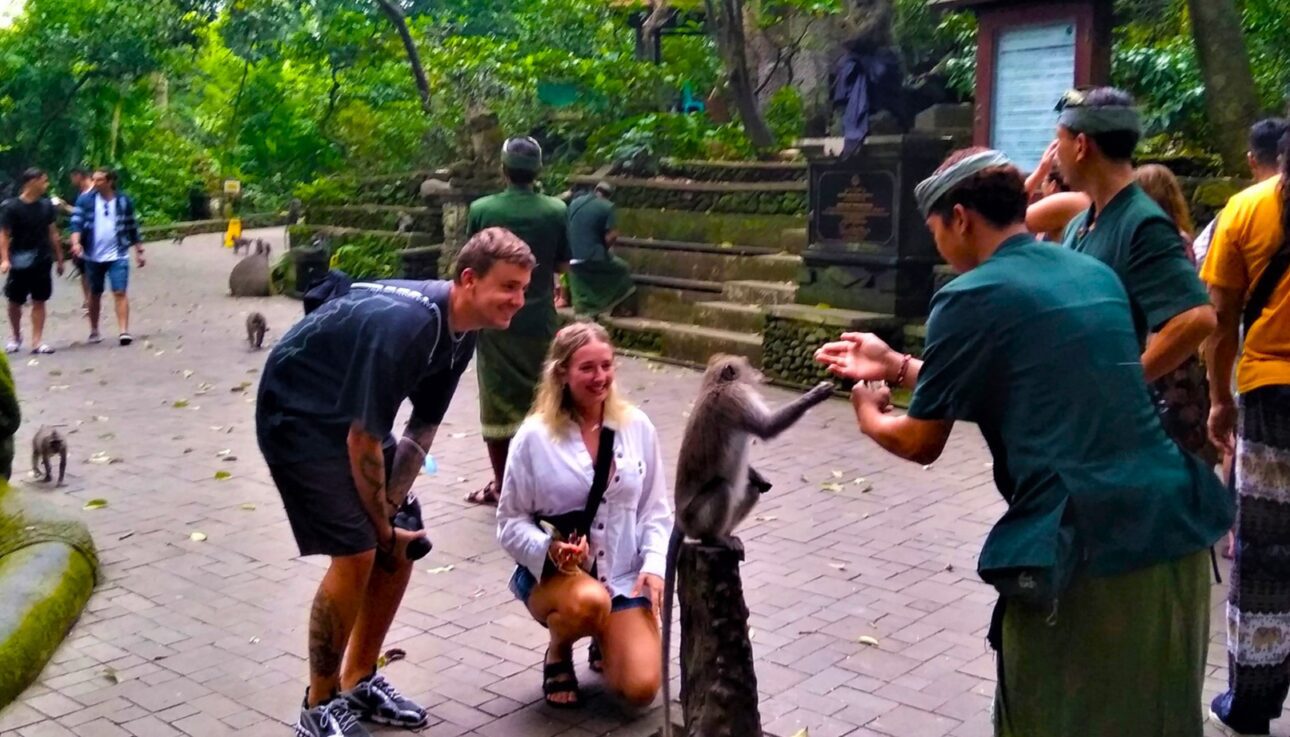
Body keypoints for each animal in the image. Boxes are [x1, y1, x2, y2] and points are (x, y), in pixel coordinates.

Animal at [660, 353, 830, 733]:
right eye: (746, 368)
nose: (760, 374)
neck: (712, 384)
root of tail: (681, 519)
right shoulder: (736, 398)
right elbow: (765, 428)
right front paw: (817, 394)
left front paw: (759, 474)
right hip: (697, 515)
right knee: (723, 488)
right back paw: (716, 538)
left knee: (746, 489)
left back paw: (732, 531)